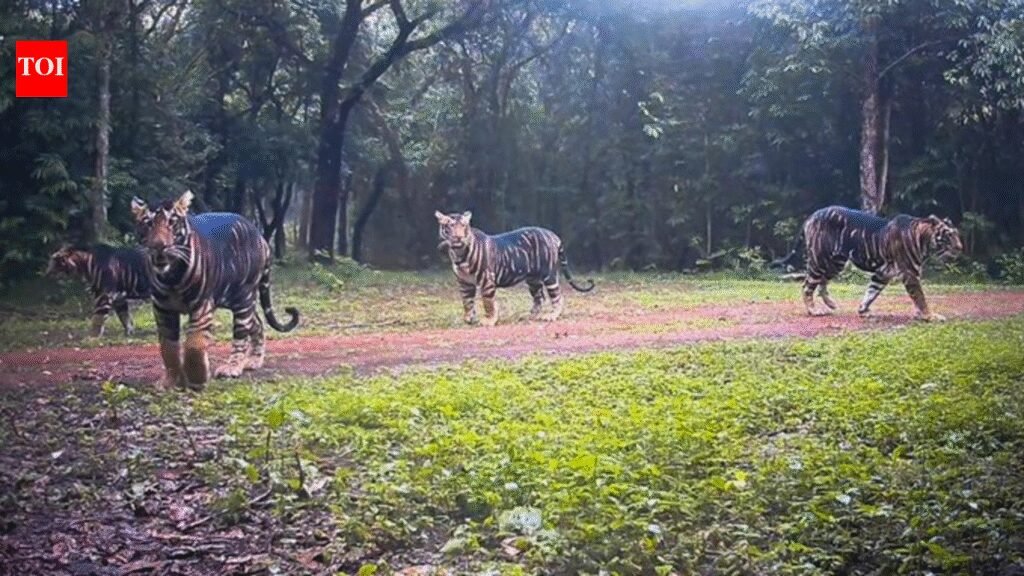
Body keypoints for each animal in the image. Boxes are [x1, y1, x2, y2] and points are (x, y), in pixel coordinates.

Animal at [130, 191, 300, 390]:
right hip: (234, 298)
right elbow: (168, 347)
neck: (171, 277)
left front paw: (197, 378)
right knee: (257, 323)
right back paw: (254, 361)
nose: (159, 246)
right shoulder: (162, 309)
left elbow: (194, 343)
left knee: (241, 335)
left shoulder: (202, 305)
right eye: (148, 223)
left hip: (243, 298)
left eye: (172, 221)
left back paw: (233, 368)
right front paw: (170, 381)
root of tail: (260, 237)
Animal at [435, 210, 594, 326]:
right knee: (539, 297)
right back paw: (530, 316)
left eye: (463, 226)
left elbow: (488, 302)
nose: (458, 237)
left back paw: (551, 316)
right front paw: (469, 319)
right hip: (533, 280)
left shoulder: (486, 280)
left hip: (549, 275)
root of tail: (552, 234)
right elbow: (467, 302)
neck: (459, 253)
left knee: (557, 296)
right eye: (450, 226)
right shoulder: (465, 282)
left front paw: (489, 320)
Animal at [775, 206, 963, 321]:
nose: (960, 248)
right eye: (948, 236)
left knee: (822, 282)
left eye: (956, 234)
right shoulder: (910, 274)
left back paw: (831, 304)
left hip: (836, 263)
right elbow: (920, 297)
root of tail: (812, 216)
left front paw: (863, 310)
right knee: (807, 286)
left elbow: (871, 292)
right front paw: (929, 316)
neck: (924, 240)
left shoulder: (882, 274)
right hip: (820, 260)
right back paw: (814, 311)